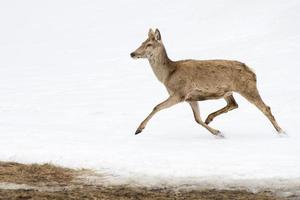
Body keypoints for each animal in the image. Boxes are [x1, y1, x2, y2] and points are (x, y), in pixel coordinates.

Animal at [129, 28, 284, 138]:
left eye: (149, 44)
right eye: (142, 42)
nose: (132, 53)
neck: (167, 75)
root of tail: (252, 71)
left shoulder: (180, 93)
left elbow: (157, 106)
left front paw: (138, 129)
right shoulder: (190, 98)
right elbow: (197, 119)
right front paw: (218, 133)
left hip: (247, 88)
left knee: (265, 108)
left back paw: (282, 132)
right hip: (228, 92)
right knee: (234, 104)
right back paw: (210, 118)